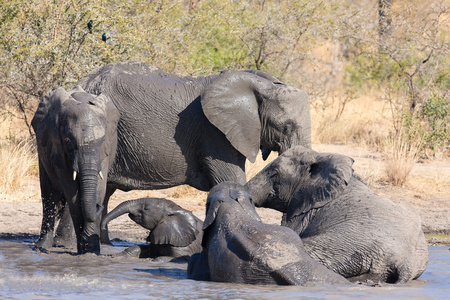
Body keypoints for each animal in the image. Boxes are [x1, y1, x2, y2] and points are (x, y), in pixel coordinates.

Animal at [31, 85, 119, 254]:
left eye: (102, 140)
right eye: (68, 140)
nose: (99, 206)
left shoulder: (107, 150)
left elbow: (99, 187)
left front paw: (91, 250)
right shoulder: (58, 147)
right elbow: (71, 191)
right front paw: (85, 249)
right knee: (48, 194)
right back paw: (42, 248)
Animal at [57, 61, 310, 253]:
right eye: (286, 126)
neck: (260, 85)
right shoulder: (215, 134)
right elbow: (231, 181)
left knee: (104, 189)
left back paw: (102, 244)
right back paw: (70, 245)